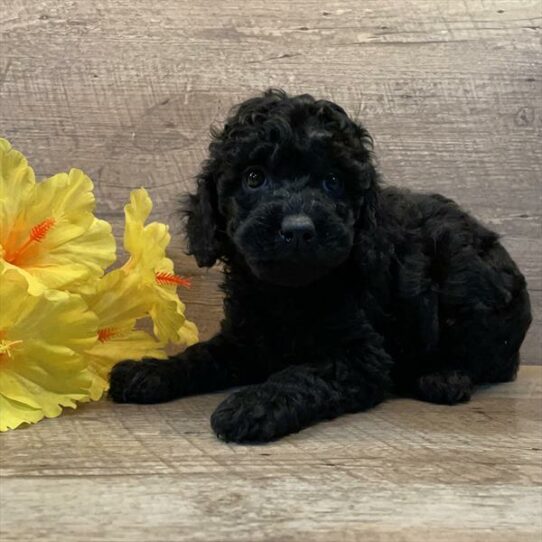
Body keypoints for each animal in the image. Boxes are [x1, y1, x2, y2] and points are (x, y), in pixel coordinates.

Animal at [108, 89, 532, 444]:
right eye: (253, 177)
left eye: (332, 182)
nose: (298, 229)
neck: (288, 293)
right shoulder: (245, 338)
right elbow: (202, 355)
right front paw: (151, 371)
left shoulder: (360, 358)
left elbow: (300, 374)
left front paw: (254, 405)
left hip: (465, 282)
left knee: (490, 359)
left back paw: (444, 377)